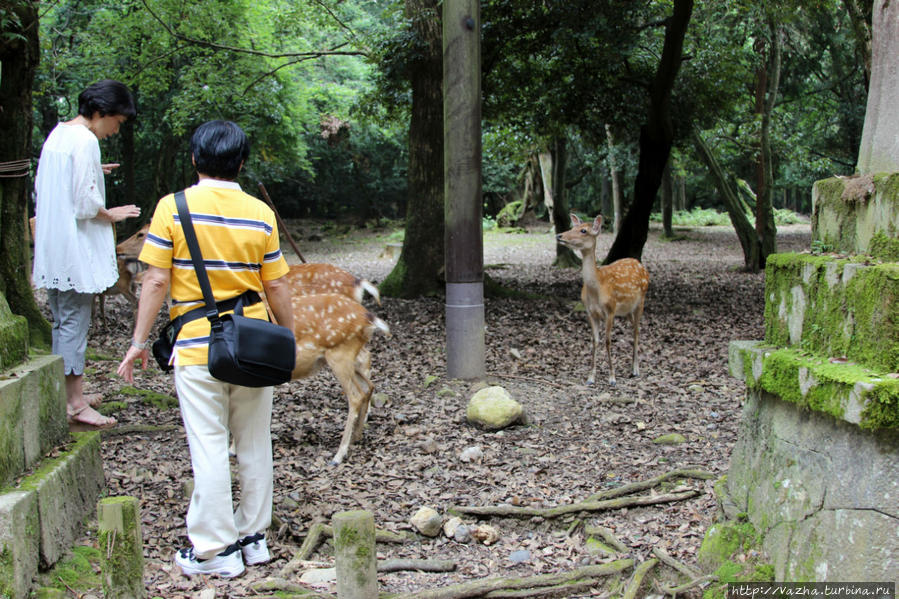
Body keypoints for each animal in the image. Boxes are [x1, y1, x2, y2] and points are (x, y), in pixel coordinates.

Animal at [556, 213, 648, 386]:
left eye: (584, 230)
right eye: (572, 227)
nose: (559, 235)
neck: (596, 289)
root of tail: (641, 264)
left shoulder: (610, 310)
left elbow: (608, 341)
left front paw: (612, 378)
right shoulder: (591, 313)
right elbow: (595, 341)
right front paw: (590, 378)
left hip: (641, 301)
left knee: (637, 331)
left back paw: (636, 370)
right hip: (626, 310)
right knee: (634, 328)